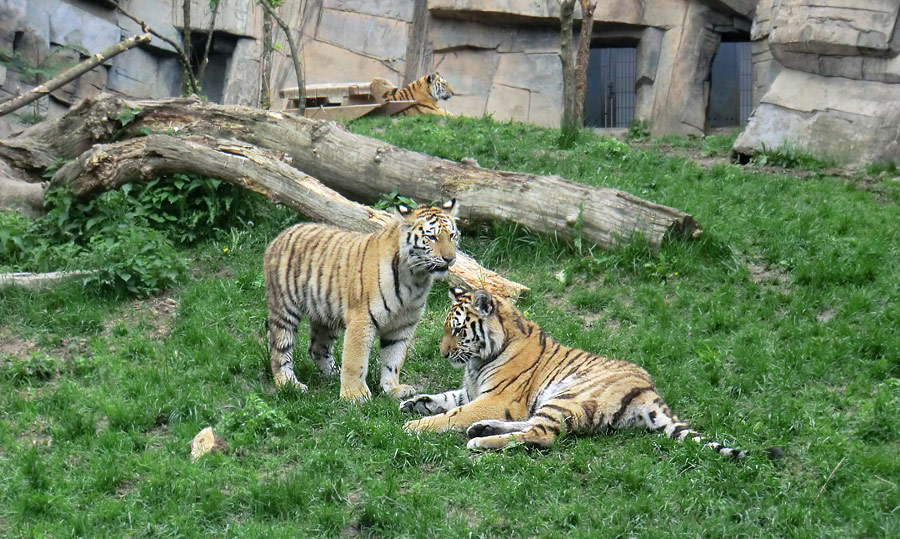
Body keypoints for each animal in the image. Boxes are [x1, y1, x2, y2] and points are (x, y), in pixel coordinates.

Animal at [260, 200, 458, 402]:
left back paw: (333, 375)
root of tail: (279, 237)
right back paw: (289, 383)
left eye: (452, 236)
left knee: (317, 347)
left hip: (325, 315)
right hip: (284, 309)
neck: (415, 278)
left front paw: (392, 388)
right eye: (432, 237)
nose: (450, 258)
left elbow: (394, 359)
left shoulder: (403, 325)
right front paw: (354, 395)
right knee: (279, 348)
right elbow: (355, 360)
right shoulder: (362, 318)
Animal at [404, 286, 784, 460]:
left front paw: (415, 426)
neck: (479, 359)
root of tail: (650, 391)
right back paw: (481, 429)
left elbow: (453, 413)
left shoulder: (497, 398)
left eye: (457, 330)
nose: (442, 353)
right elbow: (448, 398)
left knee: (541, 435)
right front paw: (413, 402)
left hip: (566, 396)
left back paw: (479, 440)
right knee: (533, 428)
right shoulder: (474, 390)